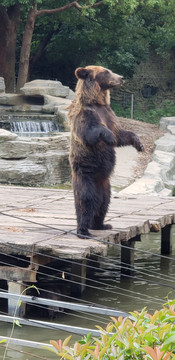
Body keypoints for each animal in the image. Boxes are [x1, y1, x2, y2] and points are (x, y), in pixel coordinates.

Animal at [67, 65, 143, 239]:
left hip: (105, 185)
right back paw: (83, 230)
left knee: (104, 203)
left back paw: (102, 224)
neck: (96, 102)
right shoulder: (85, 115)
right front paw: (109, 137)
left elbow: (121, 133)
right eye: (106, 72)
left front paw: (139, 143)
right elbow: (91, 132)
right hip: (86, 176)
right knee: (86, 201)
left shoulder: (109, 114)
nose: (121, 77)